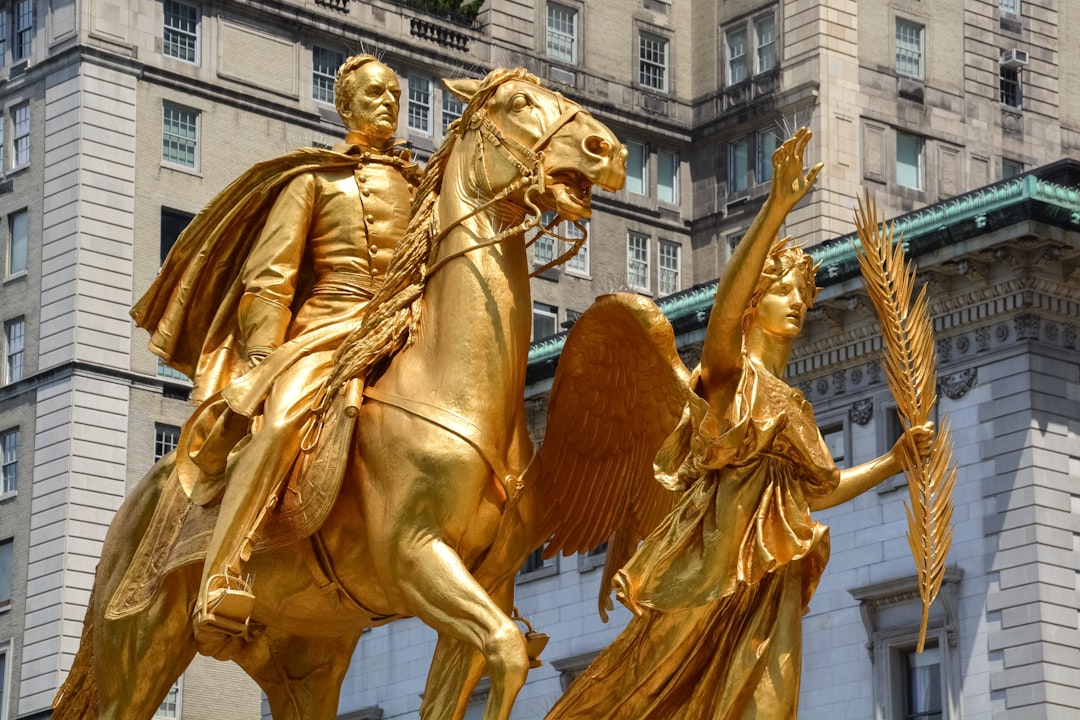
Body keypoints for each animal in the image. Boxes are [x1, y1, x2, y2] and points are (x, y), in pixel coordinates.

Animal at [52, 70, 626, 720]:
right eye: (520, 103)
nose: (608, 149)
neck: (455, 393)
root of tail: (137, 501)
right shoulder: (415, 557)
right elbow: (269, 279)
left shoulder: (491, 582)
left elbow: (494, 664)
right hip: (140, 648)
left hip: (305, 654)